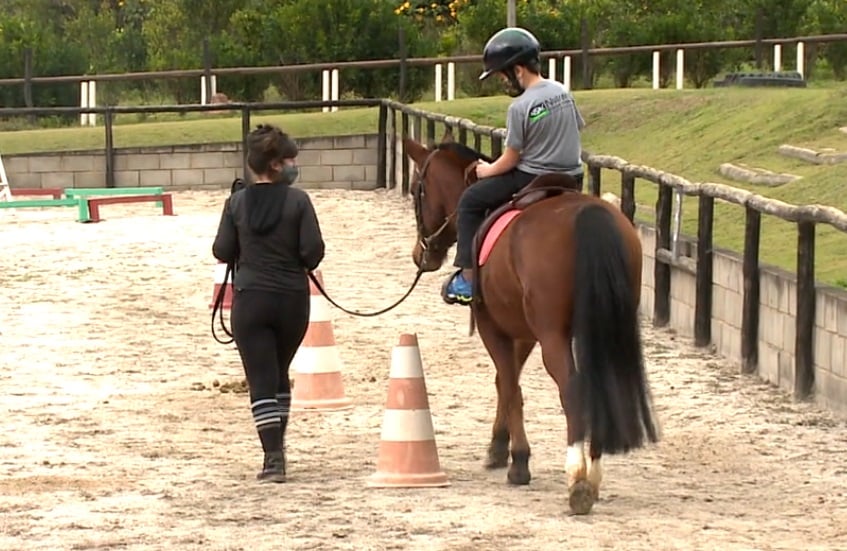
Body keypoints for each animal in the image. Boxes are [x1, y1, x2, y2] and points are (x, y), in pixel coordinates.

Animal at [406, 136, 664, 516]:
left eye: (416, 190)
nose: (420, 254)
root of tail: (589, 216)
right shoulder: (523, 332)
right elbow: (505, 382)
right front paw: (499, 448)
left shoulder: (494, 327)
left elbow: (511, 386)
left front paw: (518, 461)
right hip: (604, 330)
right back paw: (594, 474)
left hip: (554, 336)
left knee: (572, 389)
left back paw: (578, 478)